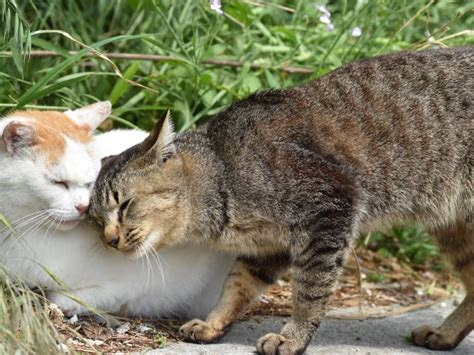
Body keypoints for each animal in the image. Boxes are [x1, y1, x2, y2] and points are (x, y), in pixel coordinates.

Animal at [90, 48, 474, 355]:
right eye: (96, 219)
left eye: (123, 204)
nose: (109, 239)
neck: (224, 176)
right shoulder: (268, 248)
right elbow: (237, 285)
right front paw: (213, 323)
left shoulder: (329, 207)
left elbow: (309, 291)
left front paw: (293, 337)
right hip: (456, 232)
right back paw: (444, 334)